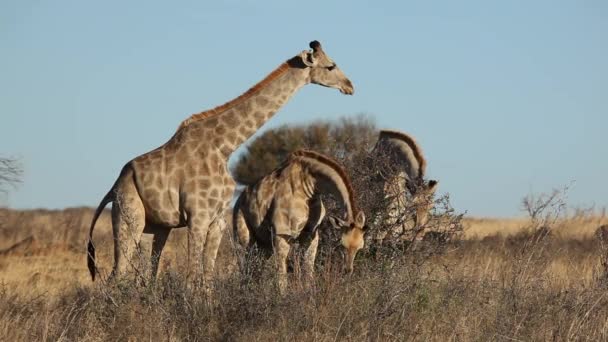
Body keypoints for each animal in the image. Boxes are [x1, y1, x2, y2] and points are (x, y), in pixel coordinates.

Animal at [83, 40, 354, 284]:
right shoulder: (197, 217)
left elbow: (208, 277)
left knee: (147, 274)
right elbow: (193, 276)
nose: (349, 86)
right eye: (331, 66)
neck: (224, 147)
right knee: (117, 275)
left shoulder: (217, 220)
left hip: (157, 227)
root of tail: (114, 186)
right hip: (129, 217)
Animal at [233, 150, 366, 292]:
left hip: (264, 245)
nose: (348, 270)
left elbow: (308, 271)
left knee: (255, 271)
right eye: (342, 245)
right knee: (244, 269)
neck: (311, 187)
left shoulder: (311, 234)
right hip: (243, 240)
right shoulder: (281, 233)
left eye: (360, 248)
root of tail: (237, 202)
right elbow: (281, 277)